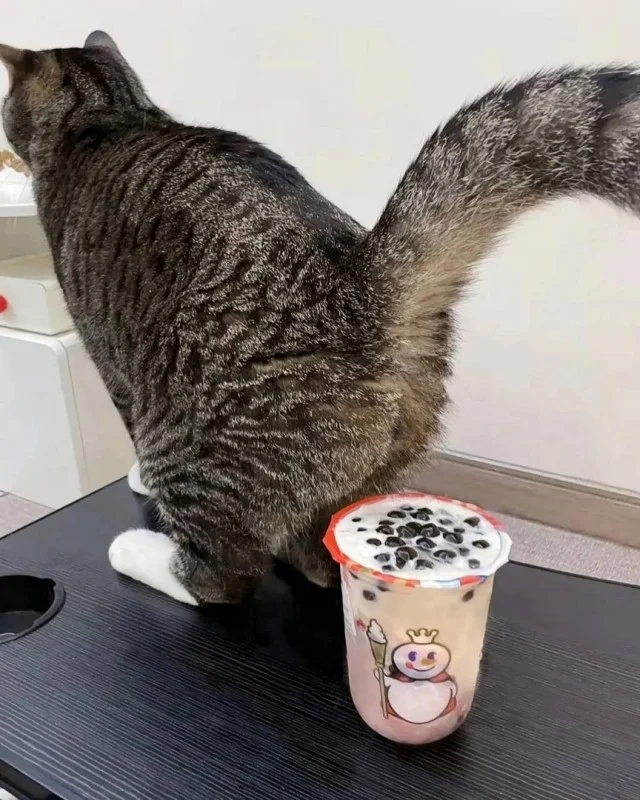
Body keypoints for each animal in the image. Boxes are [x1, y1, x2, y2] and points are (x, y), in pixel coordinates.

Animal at [2, 31, 640, 605]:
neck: (113, 115)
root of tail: (361, 288)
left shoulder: (109, 357)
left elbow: (127, 428)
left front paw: (132, 478)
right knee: (315, 560)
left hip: (190, 446)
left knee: (223, 578)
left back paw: (140, 552)